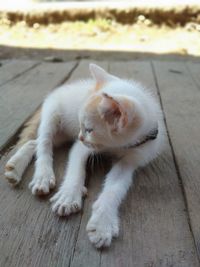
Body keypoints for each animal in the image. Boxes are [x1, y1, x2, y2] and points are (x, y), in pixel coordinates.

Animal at [4, 63, 166, 250]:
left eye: (89, 129)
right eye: (83, 127)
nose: (80, 136)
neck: (116, 146)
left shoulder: (132, 160)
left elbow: (116, 188)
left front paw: (102, 223)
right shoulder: (80, 147)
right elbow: (76, 169)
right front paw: (68, 196)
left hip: (62, 134)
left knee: (34, 143)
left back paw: (15, 168)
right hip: (52, 112)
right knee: (44, 143)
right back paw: (41, 175)